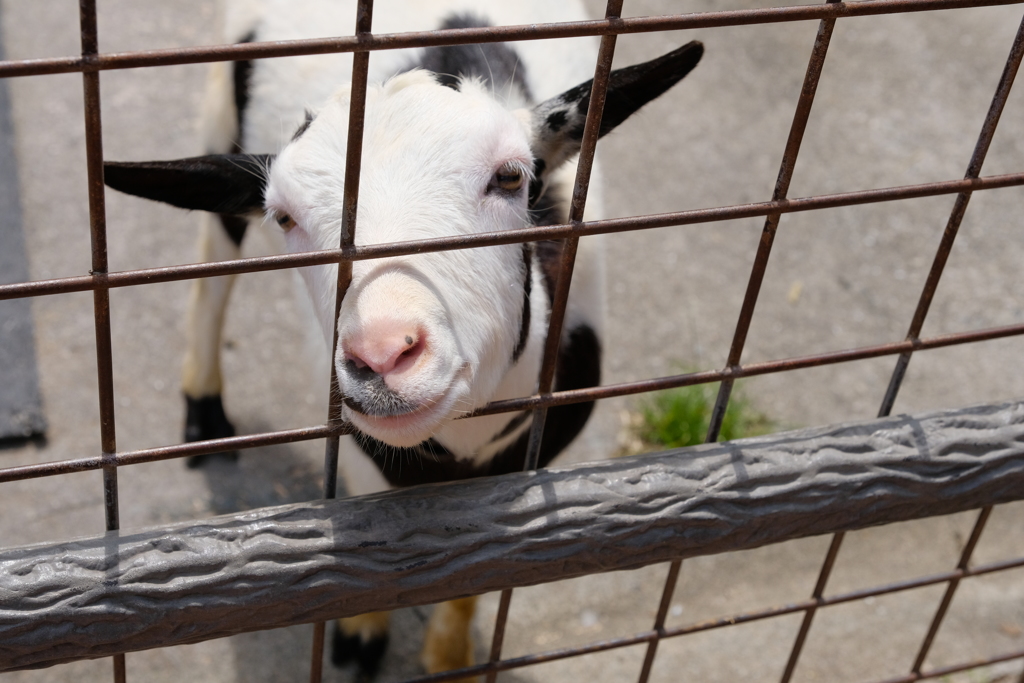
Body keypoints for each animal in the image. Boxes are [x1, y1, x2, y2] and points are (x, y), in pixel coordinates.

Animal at [101, 1, 704, 679]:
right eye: (283, 216)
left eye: (510, 177)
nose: (383, 354)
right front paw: (364, 632)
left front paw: (447, 655)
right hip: (222, 106)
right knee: (212, 265)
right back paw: (204, 408)